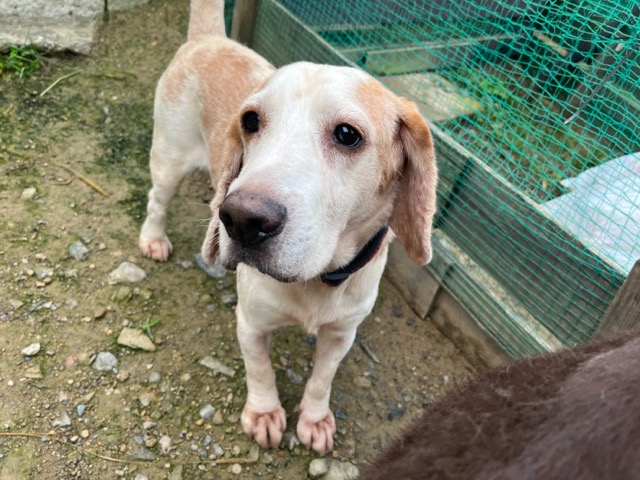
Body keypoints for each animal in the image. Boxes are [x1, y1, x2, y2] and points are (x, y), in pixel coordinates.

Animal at [139, 0, 437, 454]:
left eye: (347, 134)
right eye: (250, 121)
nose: (241, 219)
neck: (318, 280)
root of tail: (210, 39)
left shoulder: (342, 334)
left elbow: (321, 380)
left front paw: (314, 419)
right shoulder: (251, 323)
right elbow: (260, 370)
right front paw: (264, 413)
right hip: (168, 159)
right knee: (157, 200)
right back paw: (154, 238)